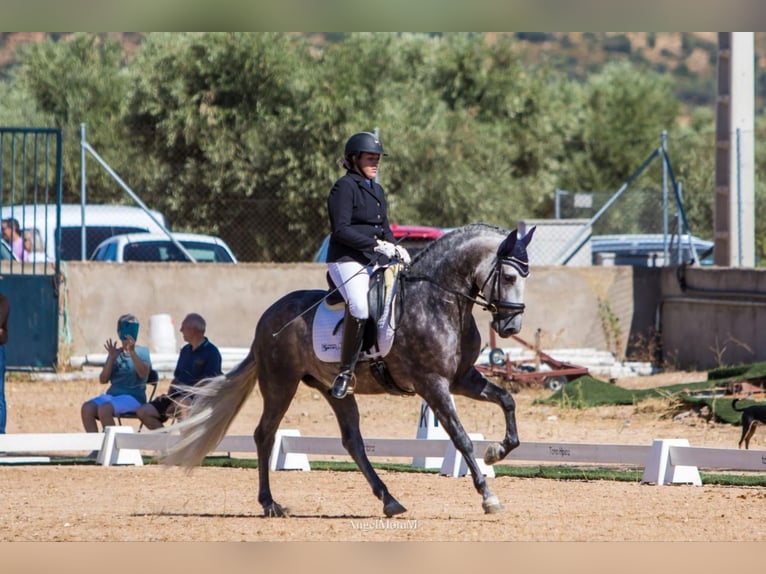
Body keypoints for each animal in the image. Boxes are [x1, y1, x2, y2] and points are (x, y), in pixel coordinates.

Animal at [161, 223, 536, 520]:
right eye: (508, 276)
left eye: (524, 277)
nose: (511, 326)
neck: (439, 301)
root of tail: (267, 318)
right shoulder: (433, 385)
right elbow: (460, 438)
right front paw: (489, 497)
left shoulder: (461, 379)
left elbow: (507, 401)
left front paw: (496, 451)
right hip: (281, 384)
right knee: (264, 434)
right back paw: (270, 504)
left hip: (332, 389)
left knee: (352, 441)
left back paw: (390, 500)